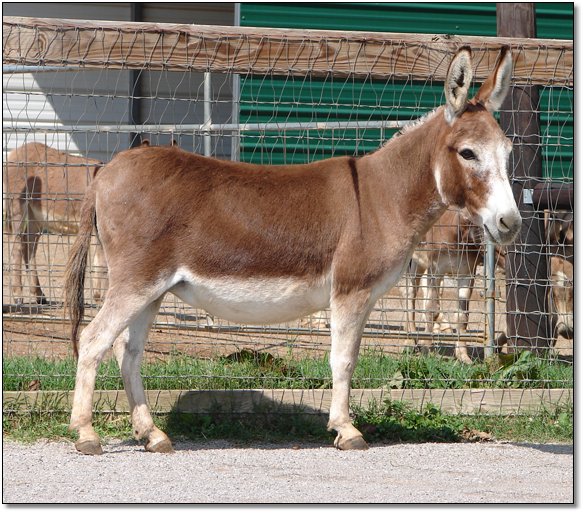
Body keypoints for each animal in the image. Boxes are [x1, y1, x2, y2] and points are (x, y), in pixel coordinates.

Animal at [3, 142, 105, 305]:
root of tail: (14, 152)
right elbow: (102, 262)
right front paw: (100, 298)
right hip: (18, 209)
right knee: (17, 248)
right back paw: (18, 295)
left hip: (35, 217)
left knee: (29, 249)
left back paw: (39, 294)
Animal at [65, 46, 521, 455]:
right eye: (467, 153)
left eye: (508, 152)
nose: (511, 224)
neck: (381, 197)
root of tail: (106, 170)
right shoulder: (350, 291)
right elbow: (343, 360)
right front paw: (346, 430)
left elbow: (347, 357)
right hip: (135, 282)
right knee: (93, 340)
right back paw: (87, 435)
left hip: (153, 289)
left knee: (128, 353)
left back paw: (152, 435)